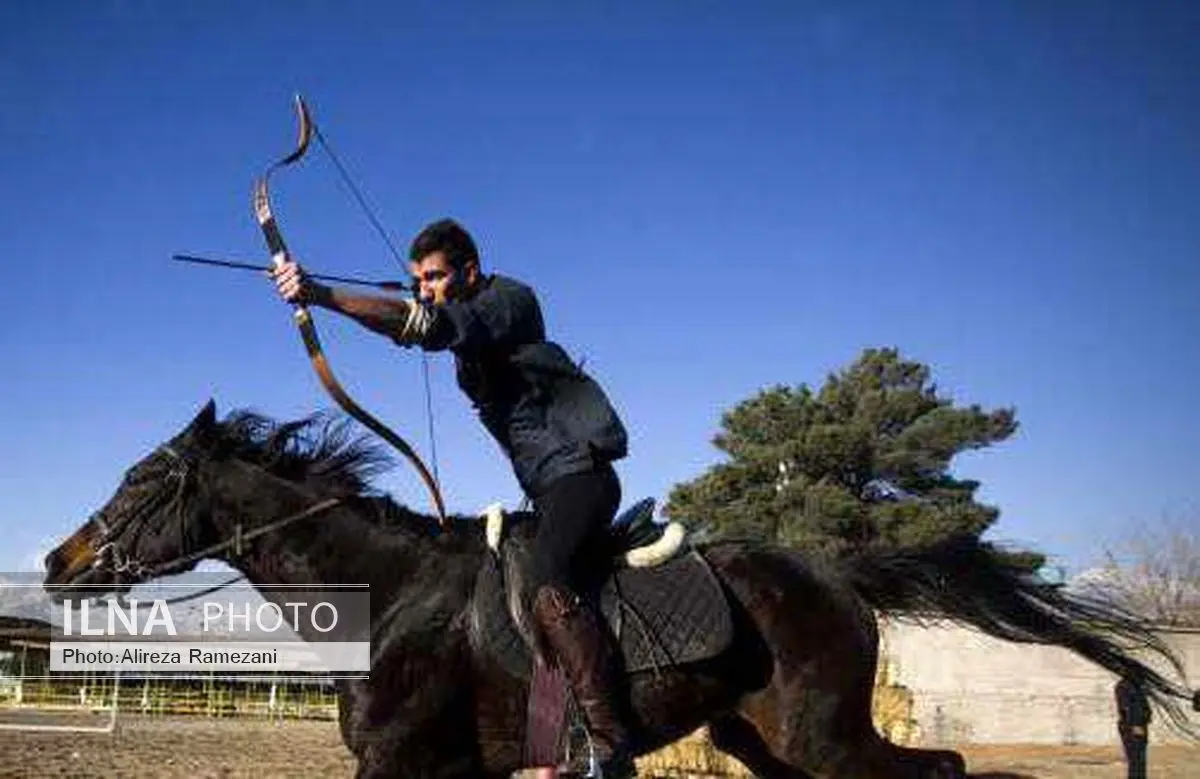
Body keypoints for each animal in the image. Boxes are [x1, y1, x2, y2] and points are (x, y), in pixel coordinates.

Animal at [42, 403, 1195, 772]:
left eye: (142, 481)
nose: (57, 562)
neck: (395, 594)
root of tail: (834, 570)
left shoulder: (404, 763)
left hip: (824, 735)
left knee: (946, 766)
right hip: (761, 742)